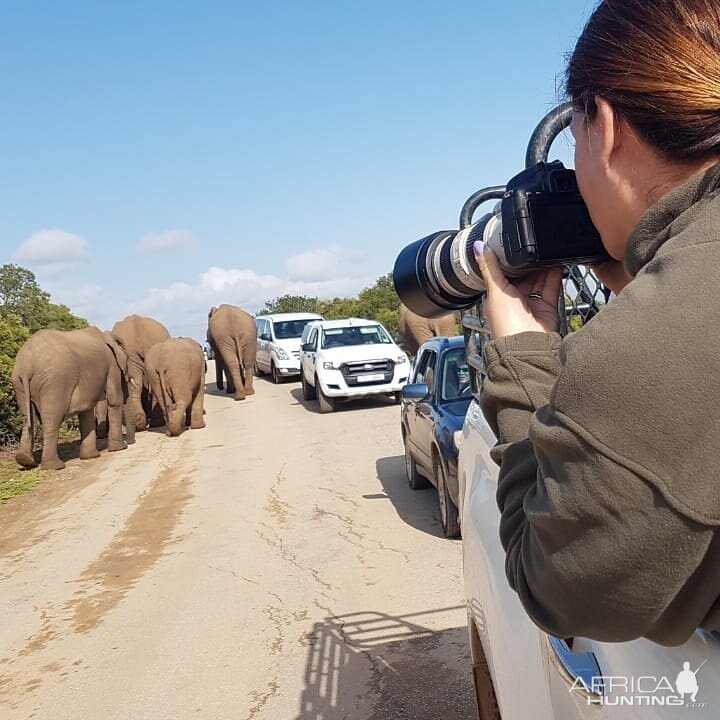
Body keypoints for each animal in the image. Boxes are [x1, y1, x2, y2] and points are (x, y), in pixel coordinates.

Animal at [11, 328, 134, 472]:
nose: (129, 442)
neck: (107, 335)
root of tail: (26, 365)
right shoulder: (112, 366)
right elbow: (115, 400)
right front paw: (120, 448)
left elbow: (87, 409)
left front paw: (90, 457)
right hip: (55, 381)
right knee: (52, 419)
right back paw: (55, 467)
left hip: (19, 383)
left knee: (28, 418)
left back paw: (25, 460)